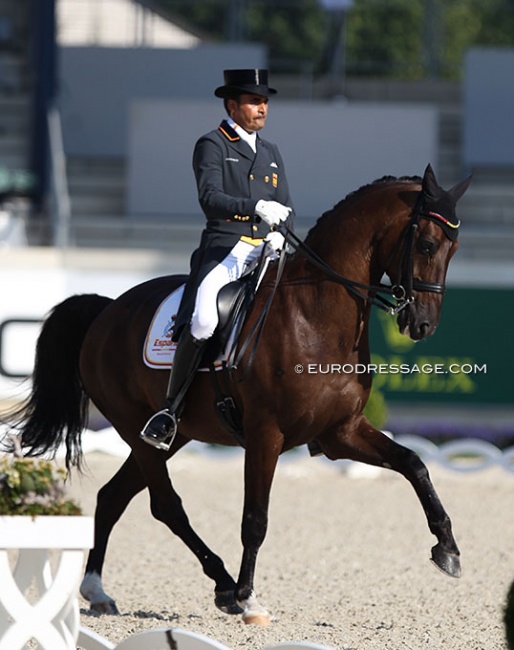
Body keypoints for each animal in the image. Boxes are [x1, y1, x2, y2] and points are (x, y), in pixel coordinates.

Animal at [4, 165, 468, 624]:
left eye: (454, 248)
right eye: (427, 243)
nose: (422, 325)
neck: (314, 314)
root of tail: (106, 309)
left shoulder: (342, 431)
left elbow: (414, 464)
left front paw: (447, 549)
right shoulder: (266, 434)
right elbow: (255, 518)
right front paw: (248, 597)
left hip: (173, 436)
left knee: (114, 495)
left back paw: (98, 590)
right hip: (138, 428)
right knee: (166, 505)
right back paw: (224, 585)